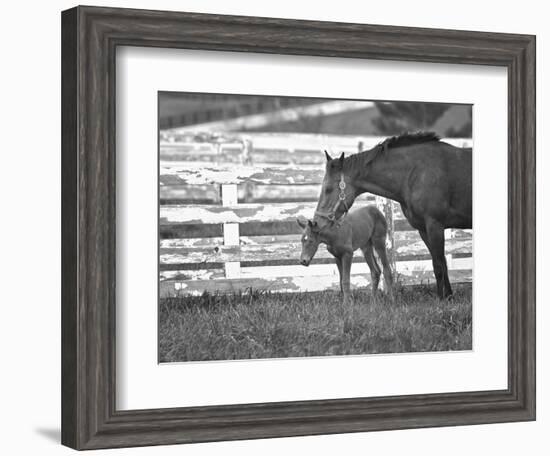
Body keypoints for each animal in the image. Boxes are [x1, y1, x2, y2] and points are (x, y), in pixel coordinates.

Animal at [316, 131, 472, 300]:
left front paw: (442, 299)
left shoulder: (435, 225)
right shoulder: (424, 229)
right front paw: (449, 296)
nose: (316, 221)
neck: (417, 172)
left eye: (328, 189)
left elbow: (437, 265)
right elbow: (442, 263)